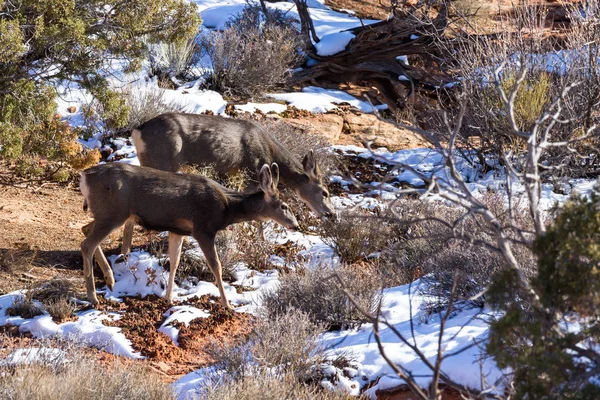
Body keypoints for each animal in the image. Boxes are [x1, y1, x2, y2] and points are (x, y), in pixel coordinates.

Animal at [79, 161, 300, 308]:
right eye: (284, 205)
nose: (296, 225)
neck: (227, 209)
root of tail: (84, 176)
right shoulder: (203, 229)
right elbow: (216, 266)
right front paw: (227, 304)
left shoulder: (178, 230)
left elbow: (174, 262)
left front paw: (169, 298)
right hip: (114, 212)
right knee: (86, 244)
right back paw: (93, 296)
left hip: (107, 213)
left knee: (85, 230)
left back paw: (109, 279)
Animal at [120, 111, 338, 256]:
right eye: (325, 192)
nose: (332, 214)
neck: (269, 150)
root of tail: (137, 132)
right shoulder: (250, 173)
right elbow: (258, 217)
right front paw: (261, 242)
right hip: (162, 161)